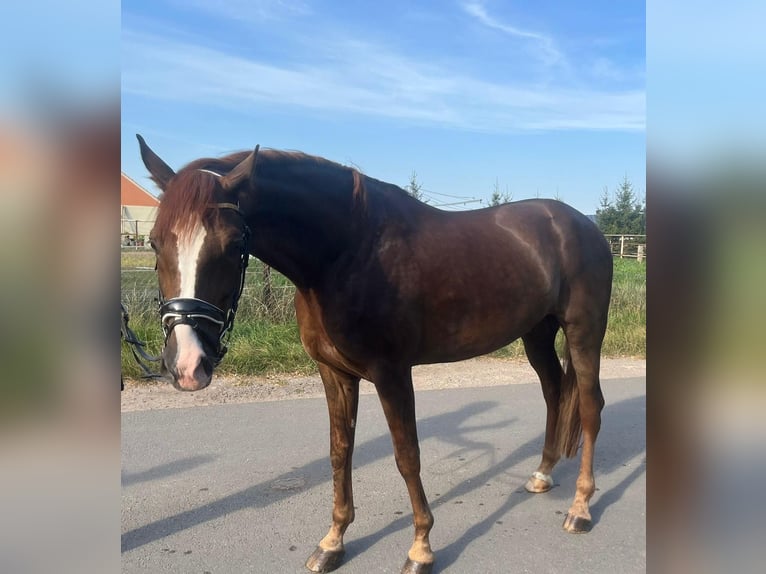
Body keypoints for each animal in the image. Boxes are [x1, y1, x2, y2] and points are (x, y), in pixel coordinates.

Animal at [141, 136, 616, 574]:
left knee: (591, 406)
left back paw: (580, 508)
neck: (346, 252)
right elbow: (340, 452)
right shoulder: (333, 373)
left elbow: (407, 456)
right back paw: (542, 474)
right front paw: (332, 542)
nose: (187, 365)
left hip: (584, 331)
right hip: (536, 333)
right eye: (154, 242)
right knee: (554, 392)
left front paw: (421, 548)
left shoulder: (392, 374)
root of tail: (582, 225)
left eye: (233, 242)